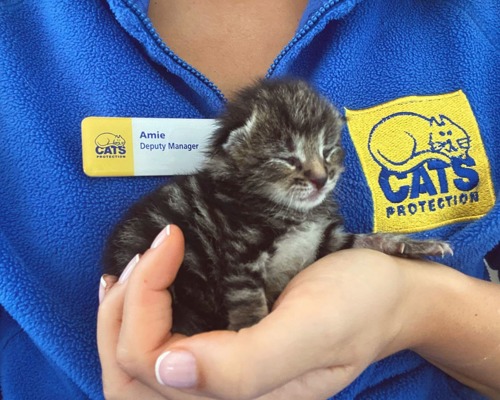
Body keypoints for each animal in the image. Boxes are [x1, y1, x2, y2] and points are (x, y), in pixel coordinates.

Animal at [102, 78, 454, 334]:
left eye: (328, 150)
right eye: (287, 158)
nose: (321, 179)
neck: (291, 212)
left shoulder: (323, 242)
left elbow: (363, 241)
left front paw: (407, 244)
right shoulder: (240, 254)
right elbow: (246, 295)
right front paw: (252, 327)